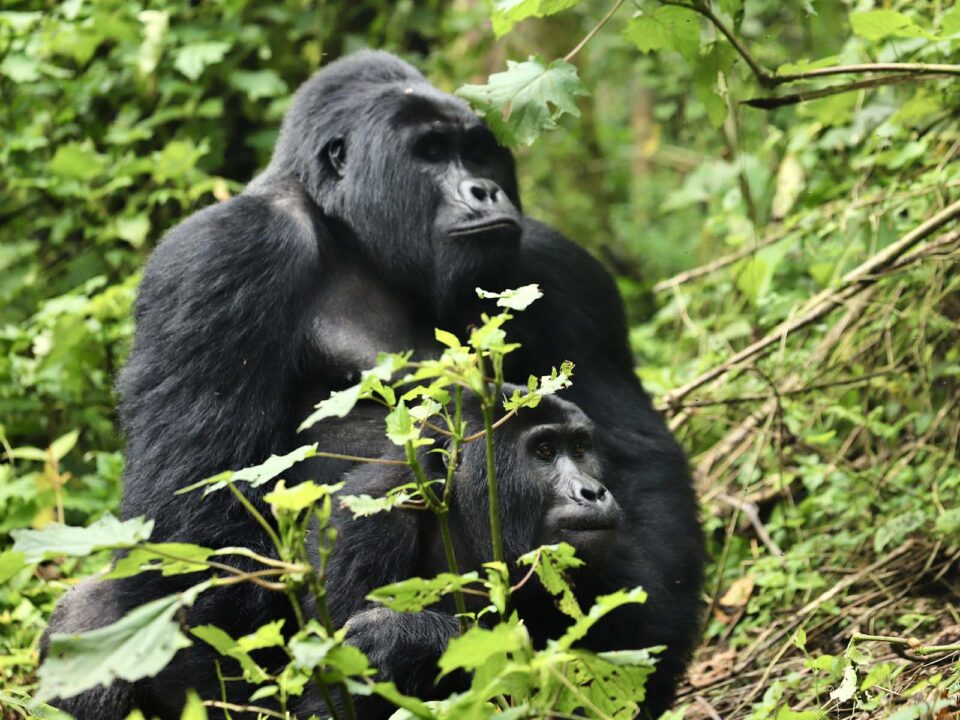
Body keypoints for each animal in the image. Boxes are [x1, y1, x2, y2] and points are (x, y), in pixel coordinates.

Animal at [45, 50, 704, 720]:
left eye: (481, 154)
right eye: (431, 152)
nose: (485, 190)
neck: (354, 235)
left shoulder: (562, 268)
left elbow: (640, 462)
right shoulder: (220, 255)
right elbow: (195, 519)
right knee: (104, 612)